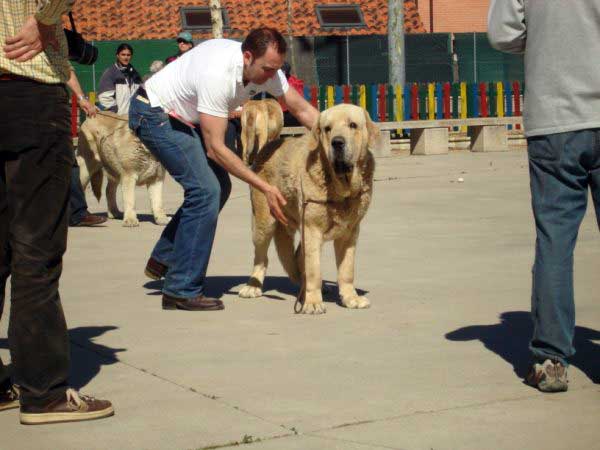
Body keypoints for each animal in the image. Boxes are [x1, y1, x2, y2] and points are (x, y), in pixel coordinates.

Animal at [238, 103, 376, 312]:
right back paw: (253, 286)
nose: (337, 142)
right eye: (327, 128)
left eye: (353, 125)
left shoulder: (350, 232)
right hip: (264, 222)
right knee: (261, 257)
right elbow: (314, 270)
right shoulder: (312, 229)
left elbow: (347, 269)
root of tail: (267, 148)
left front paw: (351, 298)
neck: (341, 190)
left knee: (295, 257)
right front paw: (312, 303)